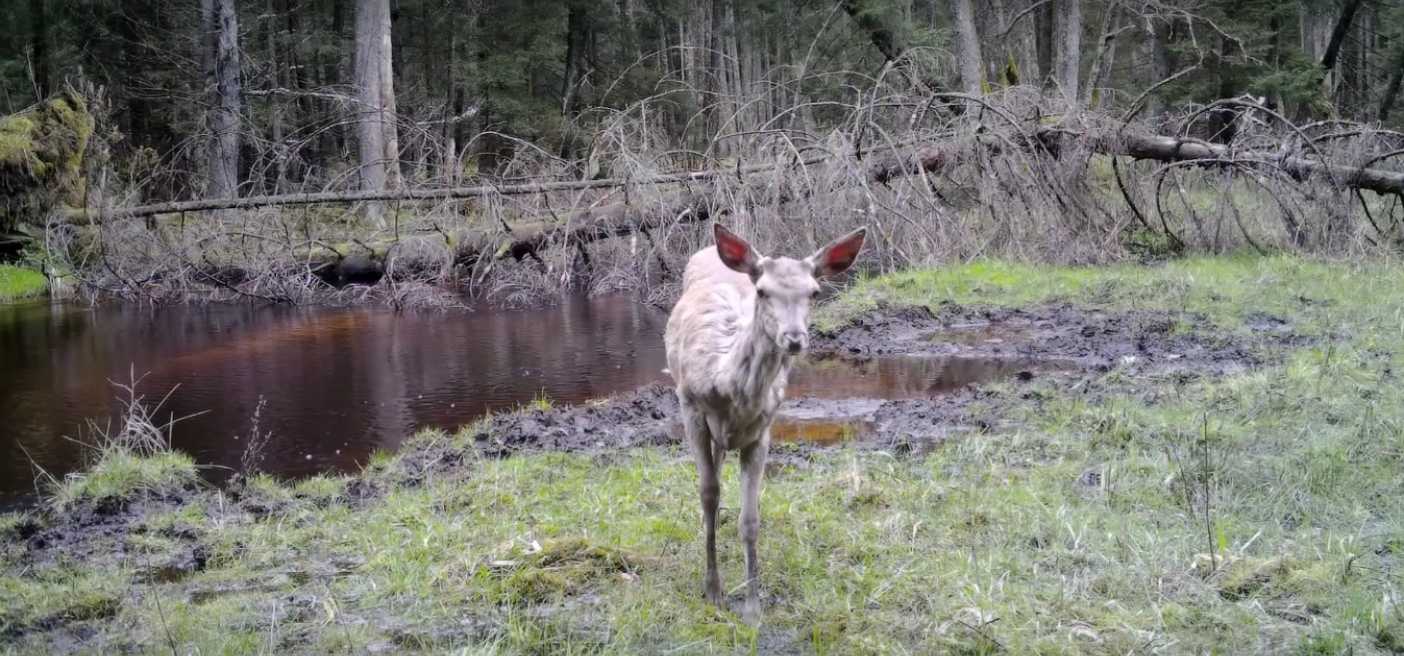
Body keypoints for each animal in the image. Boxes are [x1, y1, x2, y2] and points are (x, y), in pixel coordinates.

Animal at [659, 223, 864, 623]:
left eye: (814, 292)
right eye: (762, 290)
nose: (794, 338)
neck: (726, 385)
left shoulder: (763, 430)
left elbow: (750, 520)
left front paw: (753, 607)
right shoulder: (690, 407)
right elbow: (708, 493)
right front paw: (714, 591)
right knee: (712, 480)